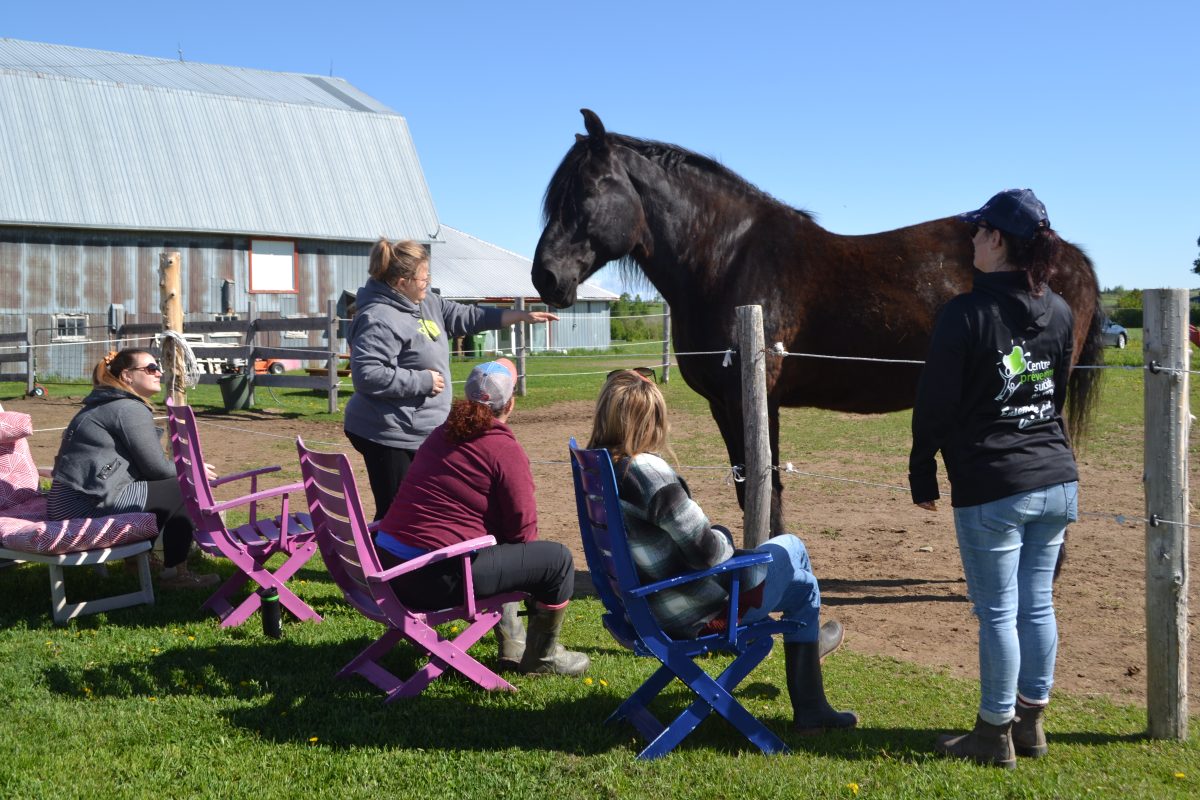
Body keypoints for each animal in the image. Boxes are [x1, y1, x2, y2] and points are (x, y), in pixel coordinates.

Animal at [532, 109, 1104, 533]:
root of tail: (1064, 252)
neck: (728, 258)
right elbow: (746, 482)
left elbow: (764, 485)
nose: (546, 276)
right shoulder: (723, 403)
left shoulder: (755, 397)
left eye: (585, 192)